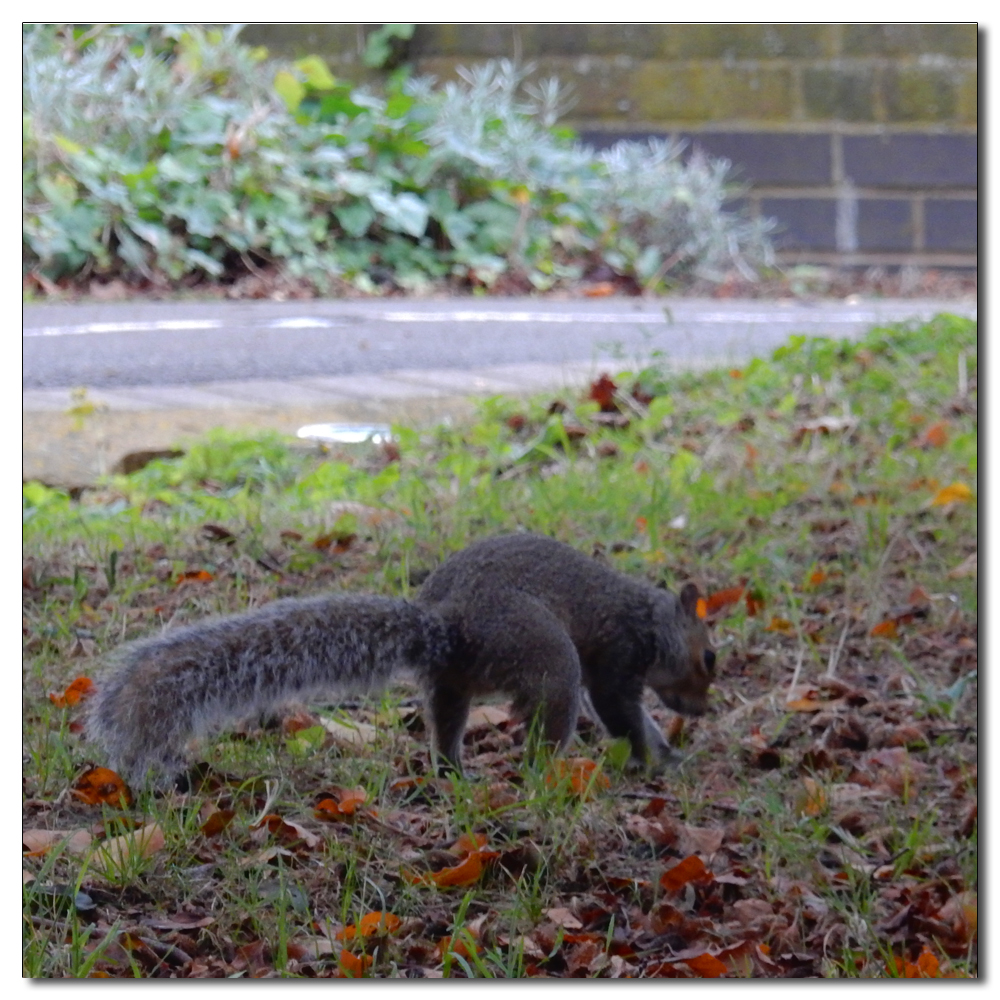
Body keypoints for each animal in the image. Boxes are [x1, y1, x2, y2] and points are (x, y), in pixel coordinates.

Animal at [86, 536, 712, 784]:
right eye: (709, 656)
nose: (702, 711)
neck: (651, 620)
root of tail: (449, 624)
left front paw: (669, 752)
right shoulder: (617, 660)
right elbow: (623, 715)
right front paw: (657, 759)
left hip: (452, 680)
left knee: (446, 723)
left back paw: (453, 770)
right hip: (547, 655)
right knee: (546, 727)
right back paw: (550, 774)